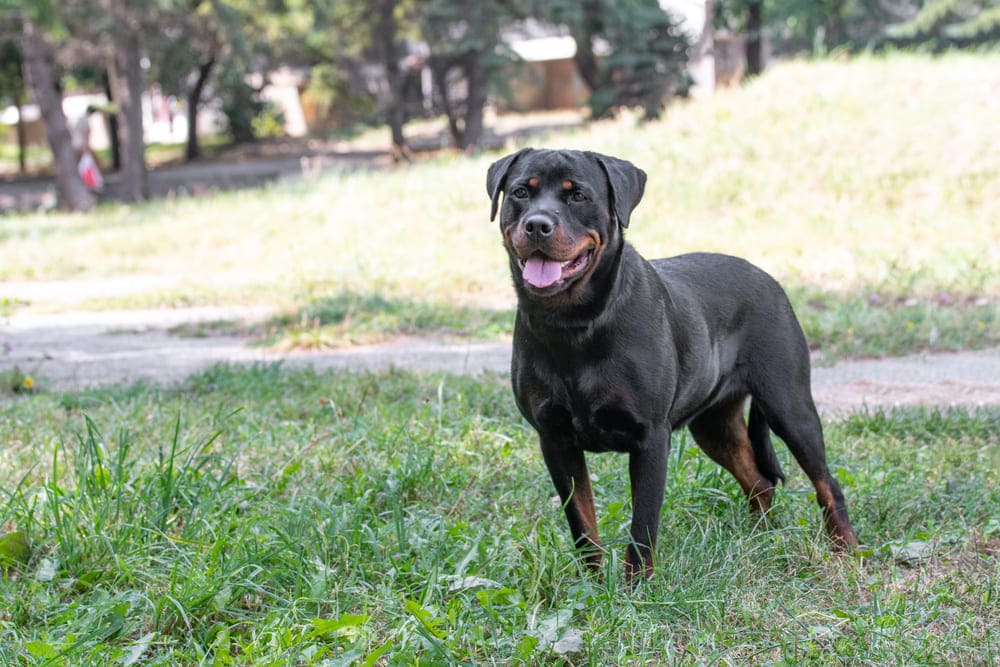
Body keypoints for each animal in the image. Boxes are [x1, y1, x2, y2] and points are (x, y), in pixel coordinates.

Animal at [488, 149, 856, 580]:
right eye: (520, 192)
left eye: (577, 195)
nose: (537, 224)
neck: (575, 324)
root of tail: (769, 278)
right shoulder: (555, 439)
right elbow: (582, 524)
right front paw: (592, 586)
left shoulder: (650, 437)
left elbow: (642, 527)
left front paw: (637, 589)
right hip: (713, 426)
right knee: (760, 482)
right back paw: (758, 541)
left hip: (789, 405)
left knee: (826, 482)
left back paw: (846, 550)